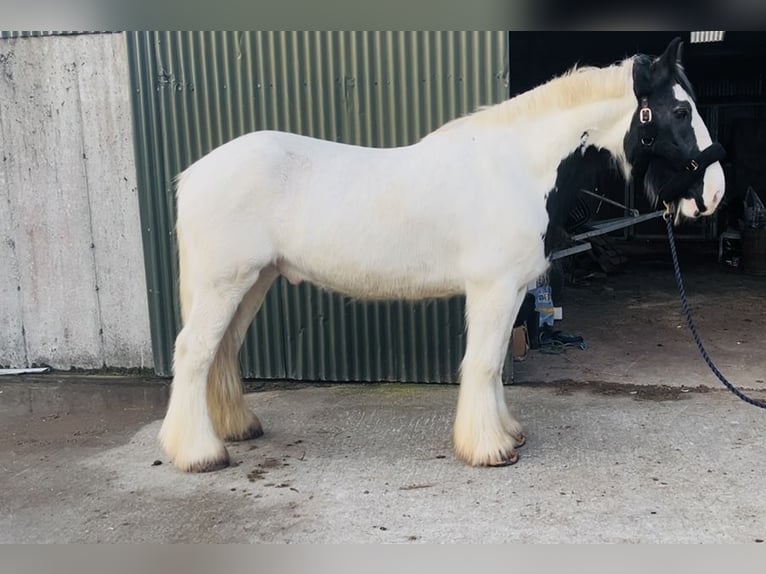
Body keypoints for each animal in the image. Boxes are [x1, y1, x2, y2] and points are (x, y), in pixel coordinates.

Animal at [158, 37, 726, 472]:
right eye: (680, 110)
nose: (715, 193)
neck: (517, 166)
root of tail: (194, 173)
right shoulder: (494, 289)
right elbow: (482, 363)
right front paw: (490, 449)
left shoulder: (511, 291)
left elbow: (492, 367)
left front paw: (507, 433)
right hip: (225, 284)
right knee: (193, 354)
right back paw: (199, 454)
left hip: (252, 282)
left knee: (222, 353)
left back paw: (237, 429)